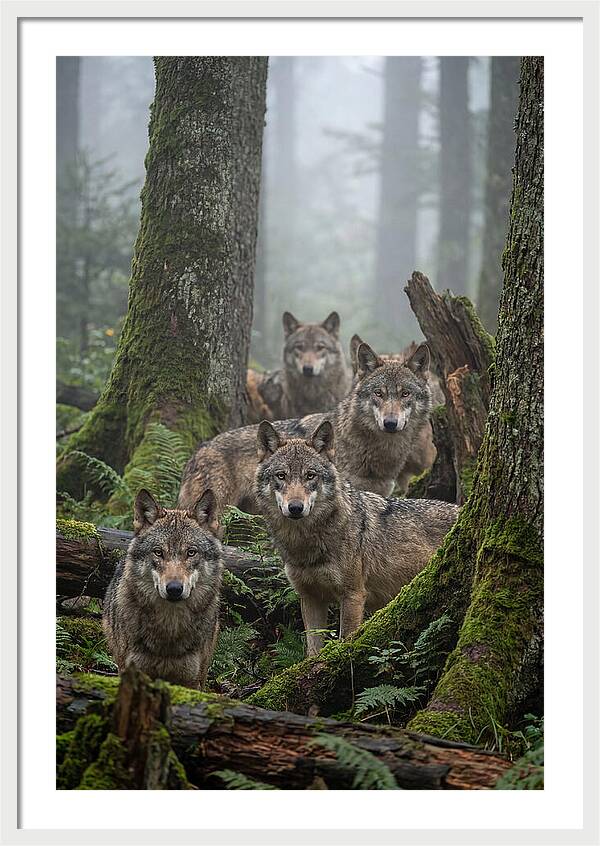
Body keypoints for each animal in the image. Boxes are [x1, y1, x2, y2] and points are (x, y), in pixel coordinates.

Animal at [255, 420, 459, 655]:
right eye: (281, 475)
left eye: (310, 475)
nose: (295, 508)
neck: (305, 544)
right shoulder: (310, 597)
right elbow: (312, 650)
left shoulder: (353, 595)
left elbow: (345, 640)